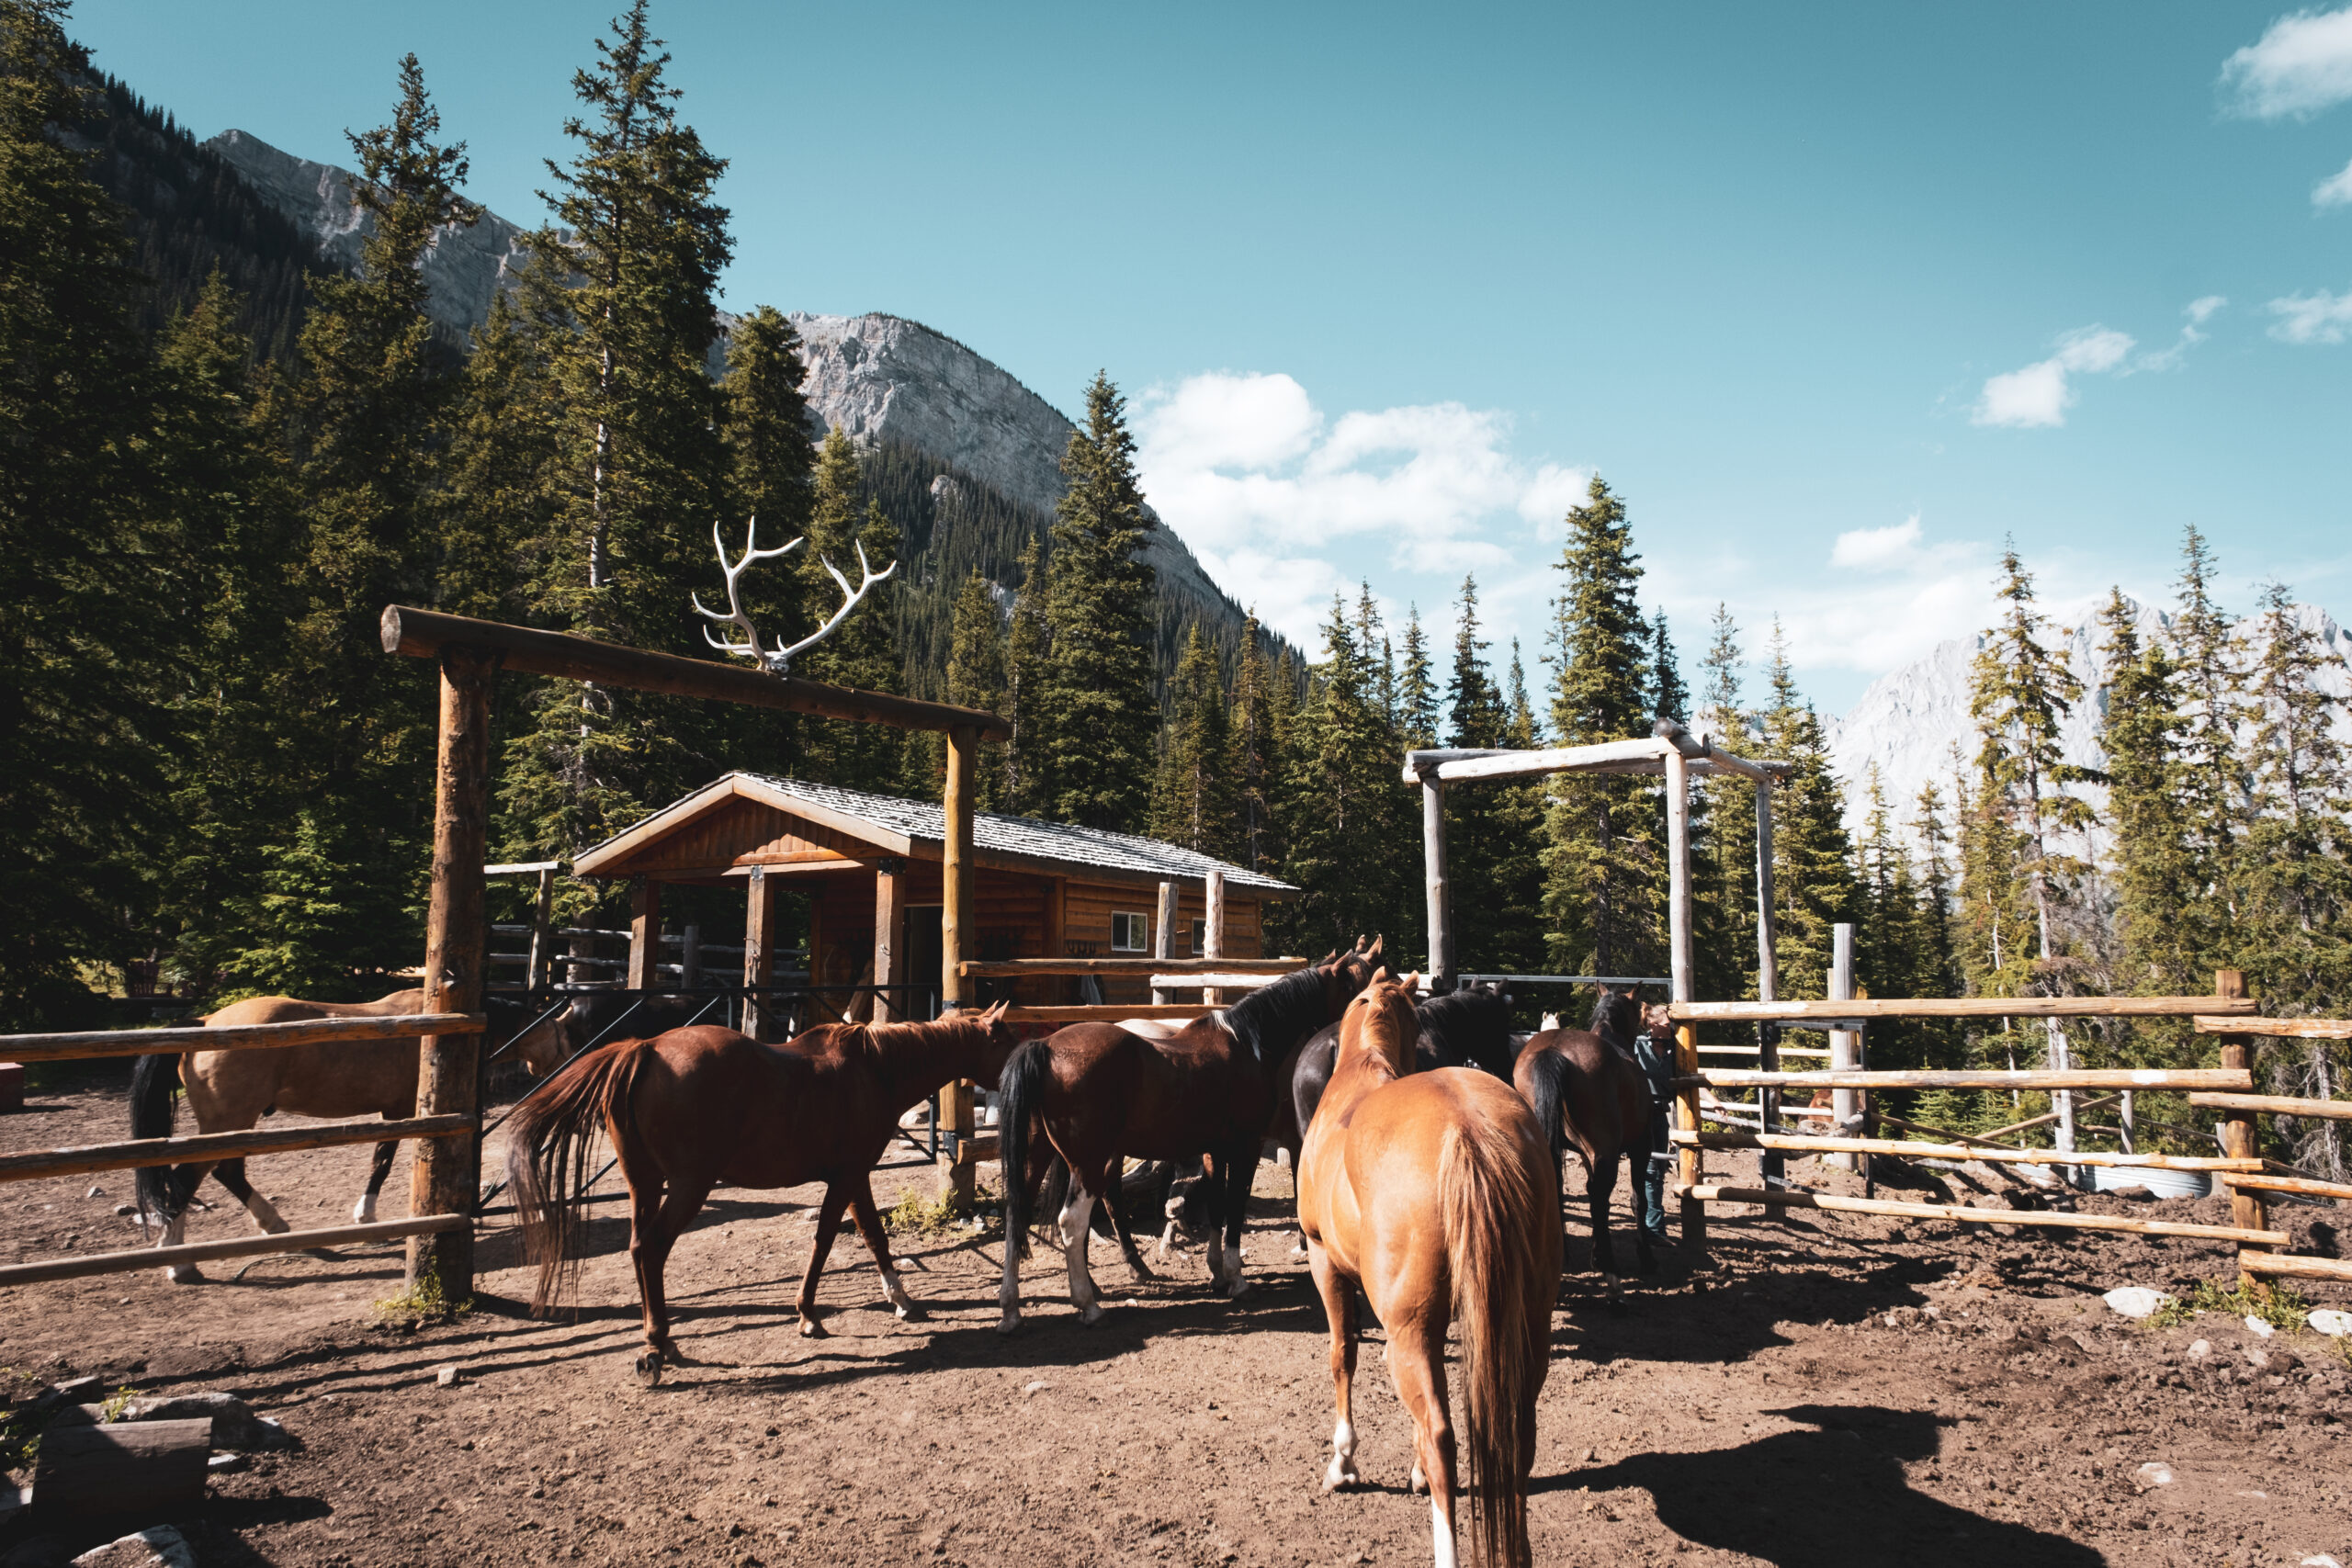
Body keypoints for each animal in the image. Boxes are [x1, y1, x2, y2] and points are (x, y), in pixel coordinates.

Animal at [130, 987, 571, 1279]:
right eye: (564, 1036)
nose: (564, 1069)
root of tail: (206, 1023)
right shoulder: (400, 1112)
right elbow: (382, 1162)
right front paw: (367, 1218)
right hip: (228, 1123)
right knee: (189, 1179)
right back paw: (178, 1261)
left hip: (232, 1125)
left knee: (228, 1173)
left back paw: (277, 1228)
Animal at [505, 1001, 1021, 1382]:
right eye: (1008, 1042)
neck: (875, 1069)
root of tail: (645, 1050)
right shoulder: (847, 1176)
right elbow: (827, 1240)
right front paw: (808, 1314)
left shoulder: (855, 1176)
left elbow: (874, 1235)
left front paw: (901, 1300)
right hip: (689, 1186)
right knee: (651, 1249)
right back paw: (657, 1348)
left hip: (645, 1184)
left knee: (637, 1248)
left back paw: (661, 1339)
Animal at [992, 944, 1374, 1335]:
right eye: (1354, 988)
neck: (1249, 1044)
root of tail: (1046, 1046)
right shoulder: (1246, 1147)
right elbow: (1235, 1207)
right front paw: (1237, 1281)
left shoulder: (1216, 1150)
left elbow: (1217, 1208)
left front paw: (1218, 1274)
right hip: (1087, 1163)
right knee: (1072, 1221)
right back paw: (1089, 1304)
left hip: (1037, 1155)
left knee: (1016, 1213)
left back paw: (1011, 1310)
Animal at [1307, 973, 1561, 1561]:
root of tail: (1468, 1128)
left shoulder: (1323, 1261)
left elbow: (1343, 1355)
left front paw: (1343, 1463)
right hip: (1527, 1322)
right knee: (1518, 1432)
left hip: (1410, 1330)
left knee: (1444, 1438)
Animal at [1514, 991, 1665, 1288]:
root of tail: (1552, 1052)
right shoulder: (1639, 1148)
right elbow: (1636, 1200)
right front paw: (1646, 1257)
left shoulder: (1586, 1154)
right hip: (1608, 1152)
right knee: (1599, 1197)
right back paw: (1608, 1264)